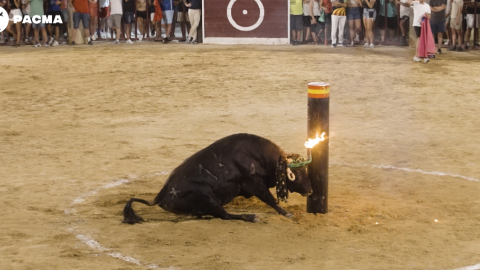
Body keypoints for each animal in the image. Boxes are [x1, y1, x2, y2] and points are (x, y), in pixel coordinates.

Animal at [122, 133, 314, 224]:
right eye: (296, 174)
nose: (310, 190)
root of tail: (160, 196)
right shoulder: (255, 185)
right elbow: (271, 200)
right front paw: (286, 213)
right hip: (209, 199)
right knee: (225, 215)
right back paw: (250, 217)